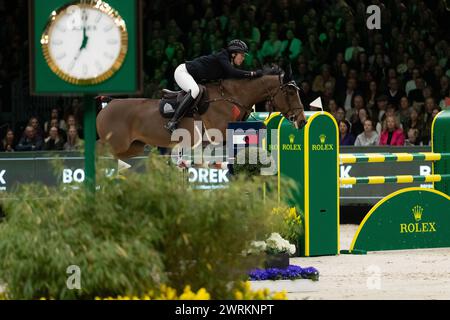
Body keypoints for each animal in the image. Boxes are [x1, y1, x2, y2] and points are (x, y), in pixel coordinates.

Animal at [95, 67, 306, 159]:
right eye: (290, 92)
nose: (302, 121)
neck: (231, 96)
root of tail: (108, 105)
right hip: (116, 144)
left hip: (133, 147)